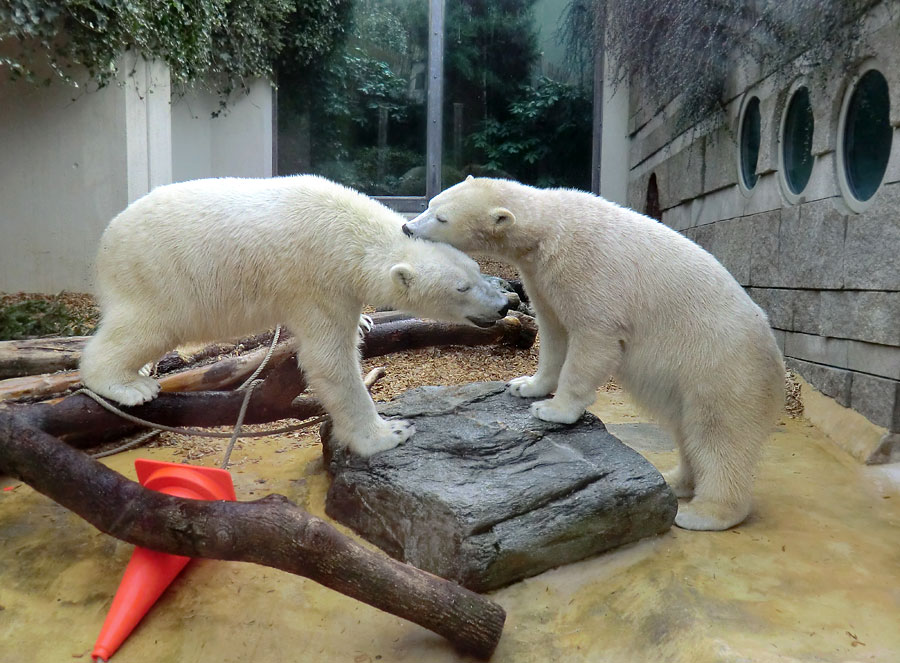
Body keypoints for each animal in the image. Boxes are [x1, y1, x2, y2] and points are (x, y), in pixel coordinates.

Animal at [82, 174, 512, 460]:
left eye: (476, 270)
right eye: (462, 288)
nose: (503, 305)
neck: (352, 233)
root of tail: (105, 241)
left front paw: (365, 323)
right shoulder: (316, 279)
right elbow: (329, 362)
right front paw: (388, 432)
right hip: (160, 277)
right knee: (145, 328)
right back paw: (127, 385)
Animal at [404, 175, 784, 528]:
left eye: (440, 217)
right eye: (431, 202)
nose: (407, 227)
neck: (548, 228)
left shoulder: (588, 269)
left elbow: (593, 337)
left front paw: (553, 410)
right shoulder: (541, 277)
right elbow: (553, 333)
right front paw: (525, 386)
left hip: (721, 366)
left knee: (718, 434)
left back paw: (704, 512)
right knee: (686, 430)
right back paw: (677, 481)